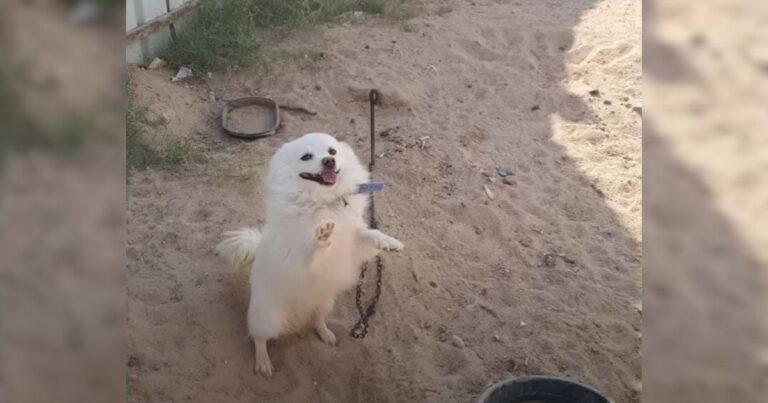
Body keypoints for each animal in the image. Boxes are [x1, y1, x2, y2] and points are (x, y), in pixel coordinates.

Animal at [216, 134, 402, 378]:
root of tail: (298, 313)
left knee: (317, 319)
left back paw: (326, 333)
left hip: (325, 302)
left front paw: (388, 242)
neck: (323, 201)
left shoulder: (352, 244)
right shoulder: (302, 263)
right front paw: (321, 236)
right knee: (259, 338)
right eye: (306, 157)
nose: (329, 161)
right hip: (268, 319)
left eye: (332, 151)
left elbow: (367, 233)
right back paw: (263, 362)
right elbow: (313, 252)